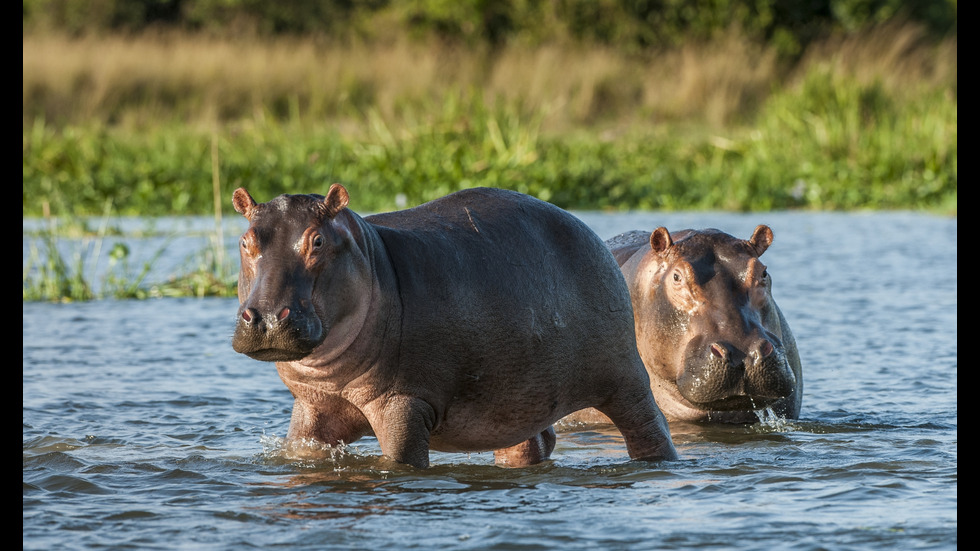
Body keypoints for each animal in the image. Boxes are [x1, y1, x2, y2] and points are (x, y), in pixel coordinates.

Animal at [231, 187, 676, 470]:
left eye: (318, 241)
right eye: (245, 241)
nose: (267, 317)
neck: (371, 258)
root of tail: (592, 234)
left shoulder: (404, 403)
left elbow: (401, 461)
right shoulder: (312, 407)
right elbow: (302, 450)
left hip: (624, 378)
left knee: (649, 426)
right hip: (517, 398)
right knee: (530, 444)